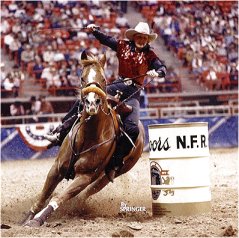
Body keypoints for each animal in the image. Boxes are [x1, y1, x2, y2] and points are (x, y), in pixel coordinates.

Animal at [22, 51, 144, 227]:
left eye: (103, 79)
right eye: (82, 78)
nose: (92, 102)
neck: (87, 136)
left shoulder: (84, 177)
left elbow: (58, 197)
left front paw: (38, 220)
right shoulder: (56, 168)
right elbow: (44, 195)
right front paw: (28, 217)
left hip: (107, 176)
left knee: (85, 194)